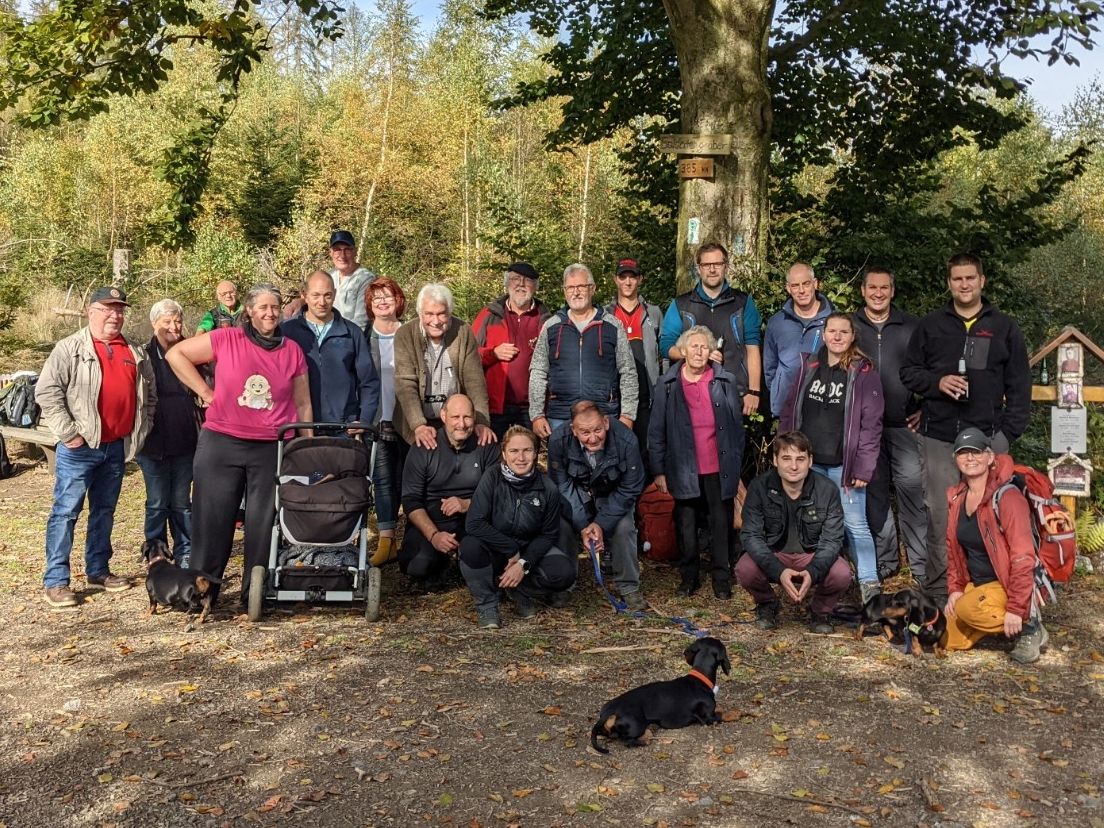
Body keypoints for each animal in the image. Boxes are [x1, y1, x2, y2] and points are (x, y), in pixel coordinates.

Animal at [591, 640, 728, 755]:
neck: (699, 678)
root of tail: (610, 710)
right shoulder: (709, 718)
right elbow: (722, 715)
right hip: (637, 725)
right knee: (627, 740)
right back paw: (644, 741)